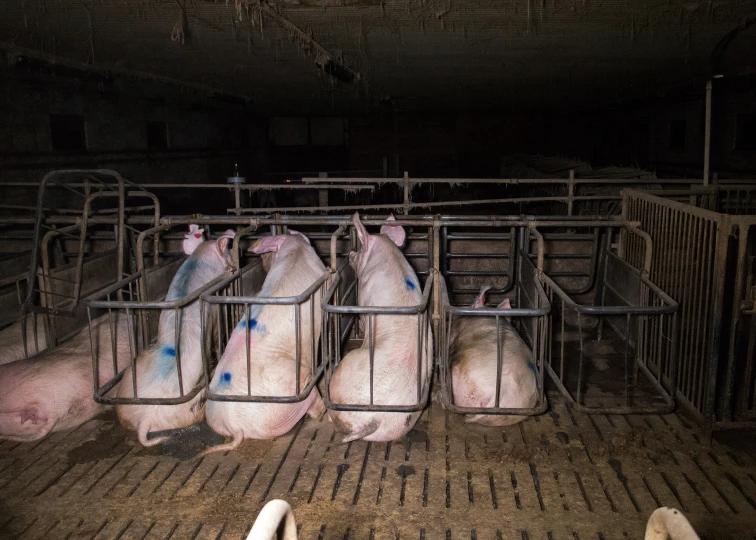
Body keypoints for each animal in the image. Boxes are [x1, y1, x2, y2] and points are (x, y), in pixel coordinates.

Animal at [113, 226, 233, 446]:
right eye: (228, 251)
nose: (233, 262)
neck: (198, 258)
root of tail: (145, 419)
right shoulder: (212, 312)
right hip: (189, 410)